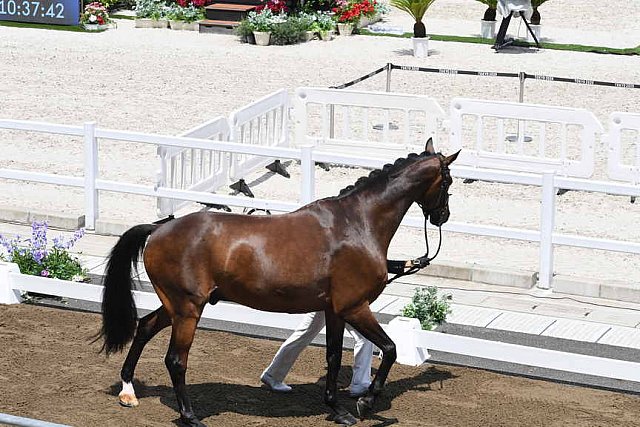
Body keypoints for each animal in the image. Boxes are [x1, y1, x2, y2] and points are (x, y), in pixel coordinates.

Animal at [96, 139, 460, 426]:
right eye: (448, 181)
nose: (442, 216)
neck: (357, 223)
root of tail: (158, 228)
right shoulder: (355, 307)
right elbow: (390, 349)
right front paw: (365, 402)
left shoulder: (333, 310)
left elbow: (333, 357)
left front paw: (338, 409)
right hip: (187, 309)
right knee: (175, 359)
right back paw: (190, 416)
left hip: (175, 306)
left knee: (144, 328)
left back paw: (128, 391)